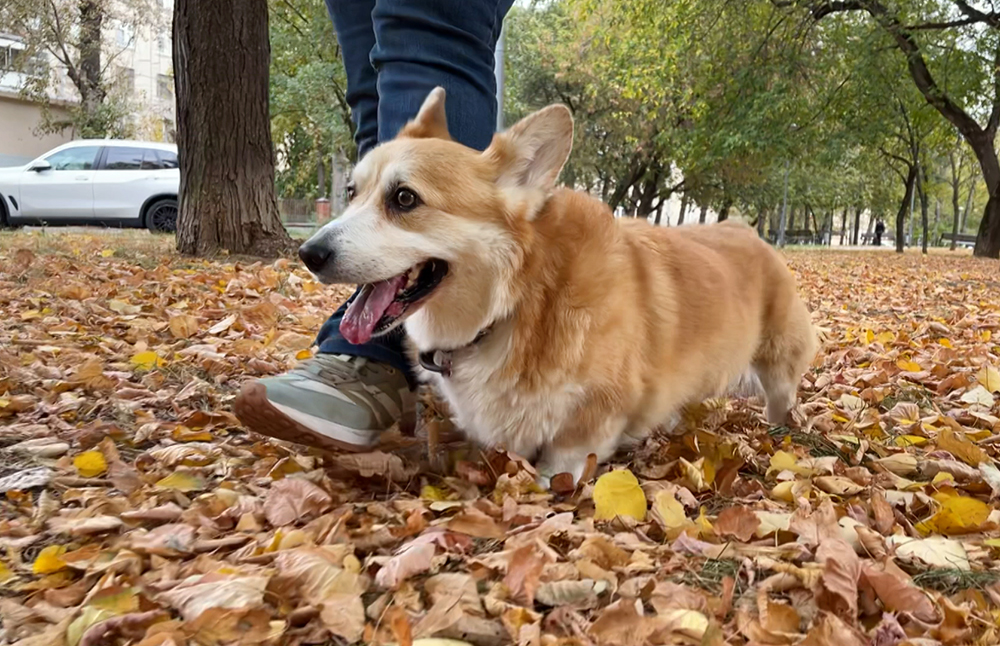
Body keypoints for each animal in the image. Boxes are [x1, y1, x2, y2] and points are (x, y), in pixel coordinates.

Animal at [296, 90, 812, 486]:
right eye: (351, 192)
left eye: (405, 198)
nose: (308, 253)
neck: (519, 302)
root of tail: (747, 230)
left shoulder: (594, 417)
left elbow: (561, 462)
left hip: (778, 365)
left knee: (781, 400)